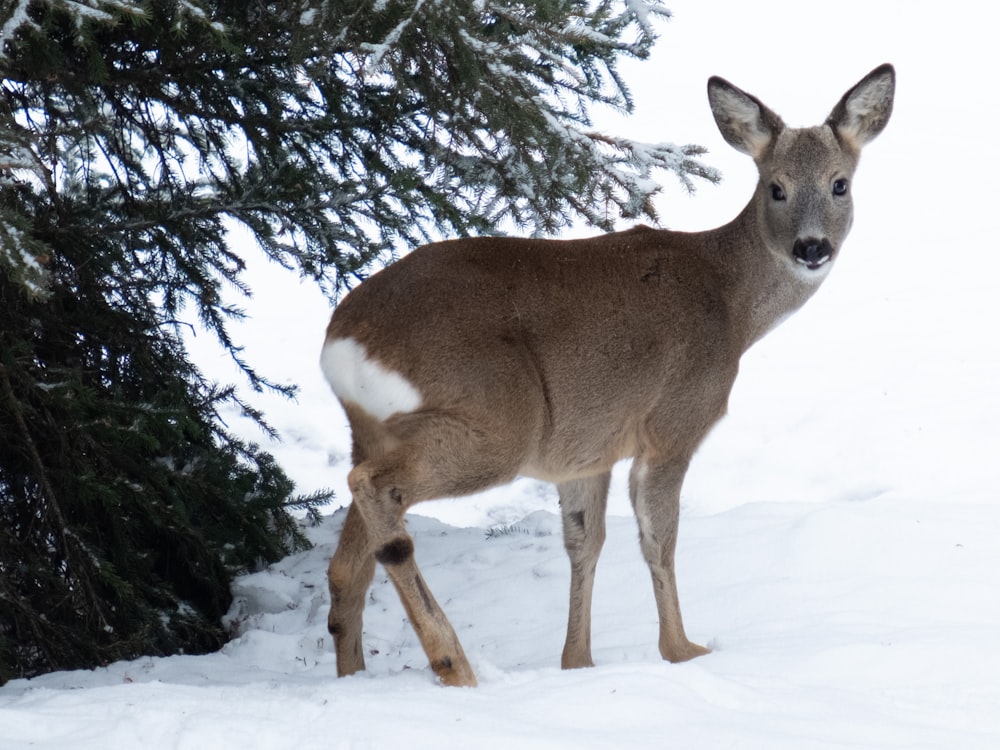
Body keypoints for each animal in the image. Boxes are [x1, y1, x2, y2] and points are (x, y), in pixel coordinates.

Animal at [320, 63, 900, 688]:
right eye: (776, 187)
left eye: (840, 184)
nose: (811, 247)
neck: (732, 307)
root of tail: (341, 342)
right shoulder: (672, 424)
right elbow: (658, 539)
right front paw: (683, 649)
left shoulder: (585, 449)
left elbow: (585, 543)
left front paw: (578, 661)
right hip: (499, 418)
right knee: (373, 491)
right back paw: (454, 663)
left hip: (376, 431)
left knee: (345, 565)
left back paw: (354, 674)